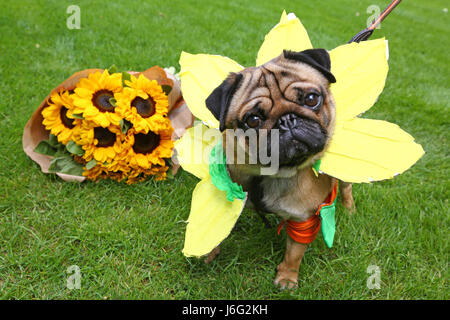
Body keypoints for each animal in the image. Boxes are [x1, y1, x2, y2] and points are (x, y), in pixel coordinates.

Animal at [204, 48, 356, 288]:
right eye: (253, 120)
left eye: (311, 99)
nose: (287, 120)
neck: (268, 172)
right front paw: (209, 251)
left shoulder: (303, 218)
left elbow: (294, 253)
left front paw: (286, 277)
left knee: (346, 187)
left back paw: (349, 210)